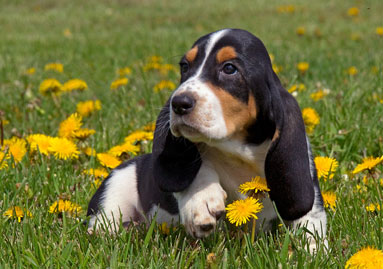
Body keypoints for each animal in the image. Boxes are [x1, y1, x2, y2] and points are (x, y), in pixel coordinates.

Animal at [88, 28, 328, 250]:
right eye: (184, 66)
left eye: (229, 68)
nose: (178, 103)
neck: (241, 152)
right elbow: (198, 166)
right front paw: (201, 199)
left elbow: (310, 228)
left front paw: (311, 251)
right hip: (112, 196)